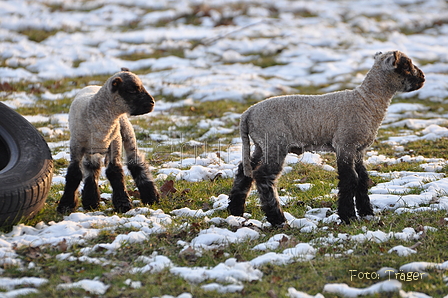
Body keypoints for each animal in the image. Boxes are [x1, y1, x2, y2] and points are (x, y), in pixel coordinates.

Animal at [57, 69, 159, 214]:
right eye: (132, 90)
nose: (152, 103)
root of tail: (93, 85)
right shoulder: (76, 145)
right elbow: (74, 174)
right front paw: (65, 206)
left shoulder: (114, 143)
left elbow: (115, 172)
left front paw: (123, 204)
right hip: (91, 148)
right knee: (92, 168)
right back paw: (91, 201)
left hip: (126, 132)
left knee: (136, 162)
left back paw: (151, 197)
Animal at [229, 50, 426, 226]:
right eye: (406, 66)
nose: (423, 78)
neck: (367, 101)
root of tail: (248, 113)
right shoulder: (345, 143)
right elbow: (350, 179)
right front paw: (348, 217)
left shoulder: (358, 149)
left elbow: (363, 178)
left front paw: (367, 213)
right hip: (275, 142)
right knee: (263, 177)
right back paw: (278, 219)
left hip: (260, 145)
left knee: (244, 171)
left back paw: (235, 211)